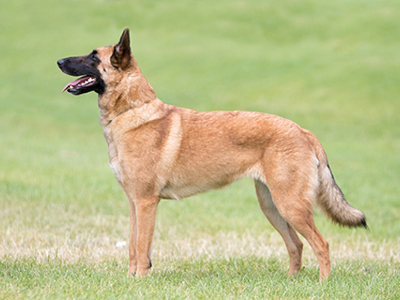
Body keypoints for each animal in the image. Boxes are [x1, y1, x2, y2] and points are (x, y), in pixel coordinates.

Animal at [57, 28, 368, 282]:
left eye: (93, 57)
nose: (58, 61)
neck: (132, 110)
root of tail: (304, 131)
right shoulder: (134, 203)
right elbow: (134, 247)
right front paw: (131, 280)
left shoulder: (146, 202)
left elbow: (142, 247)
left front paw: (140, 282)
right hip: (273, 207)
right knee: (297, 245)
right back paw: (292, 283)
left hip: (291, 206)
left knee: (321, 244)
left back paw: (323, 284)